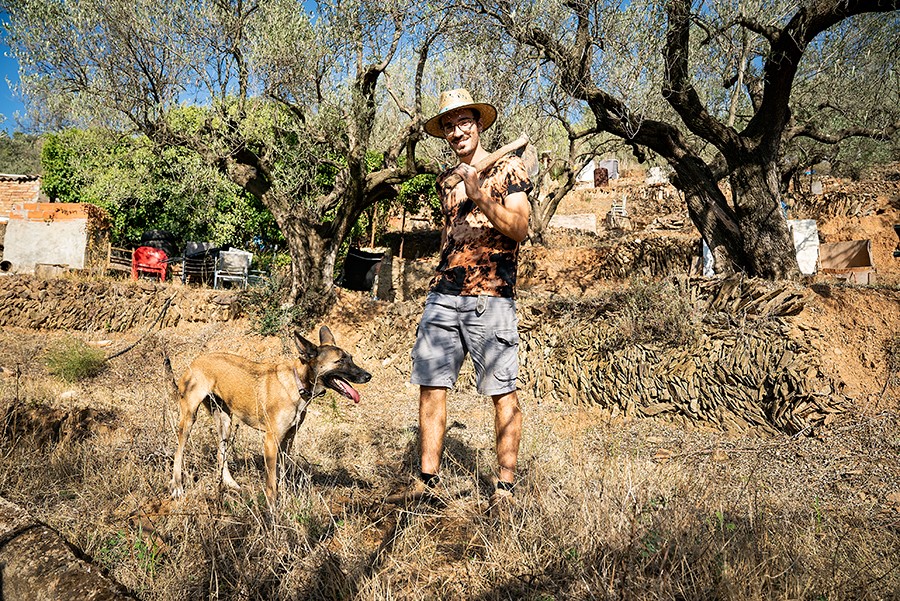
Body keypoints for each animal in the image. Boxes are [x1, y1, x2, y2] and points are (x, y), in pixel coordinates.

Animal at [169, 326, 370, 504]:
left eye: (351, 358)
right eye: (340, 361)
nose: (368, 376)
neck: (297, 383)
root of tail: (195, 361)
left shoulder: (287, 440)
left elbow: (281, 474)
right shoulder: (271, 442)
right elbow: (271, 483)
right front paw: (272, 509)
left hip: (225, 422)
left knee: (220, 453)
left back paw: (229, 482)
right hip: (188, 419)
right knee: (179, 452)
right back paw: (177, 486)